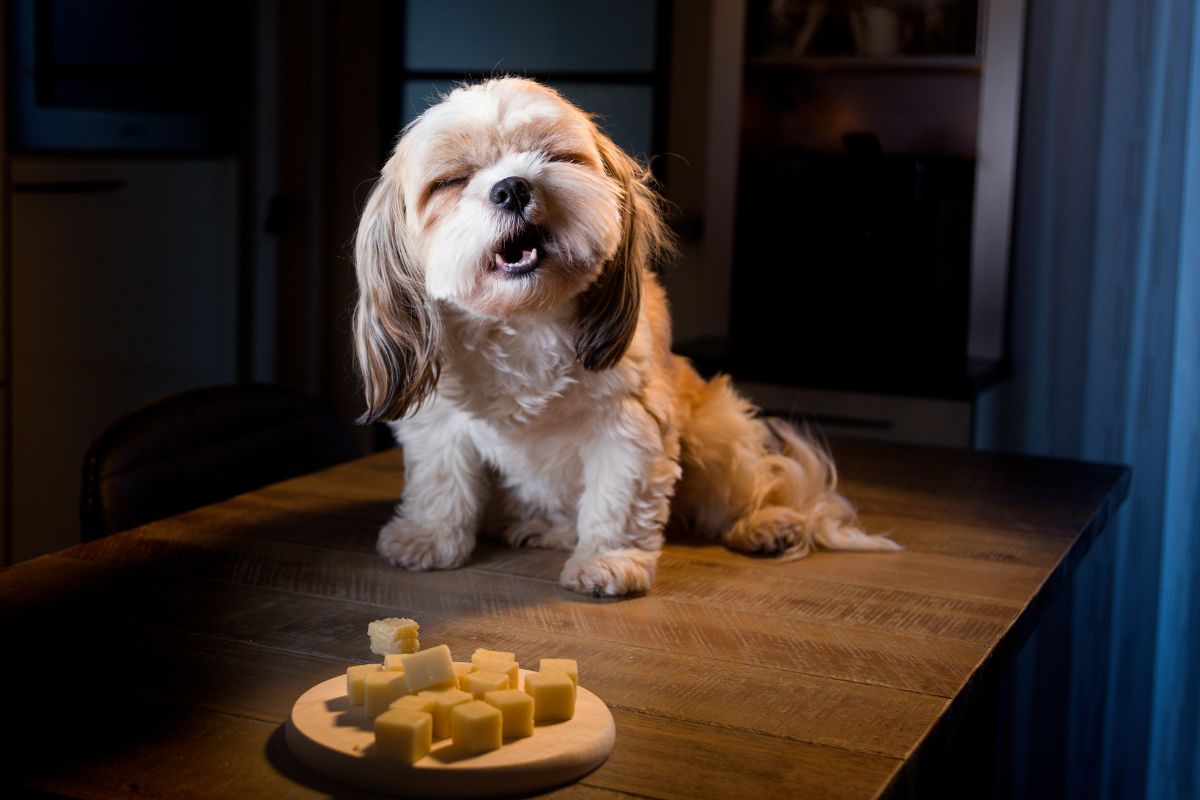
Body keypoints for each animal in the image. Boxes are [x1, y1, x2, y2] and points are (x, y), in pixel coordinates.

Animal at [350, 77, 897, 597]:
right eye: (451, 182)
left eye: (557, 157)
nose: (512, 187)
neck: (526, 320)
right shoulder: (440, 423)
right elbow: (441, 484)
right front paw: (428, 537)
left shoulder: (628, 424)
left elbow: (618, 499)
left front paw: (608, 561)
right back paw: (540, 526)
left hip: (716, 431)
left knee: (737, 496)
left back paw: (764, 524)